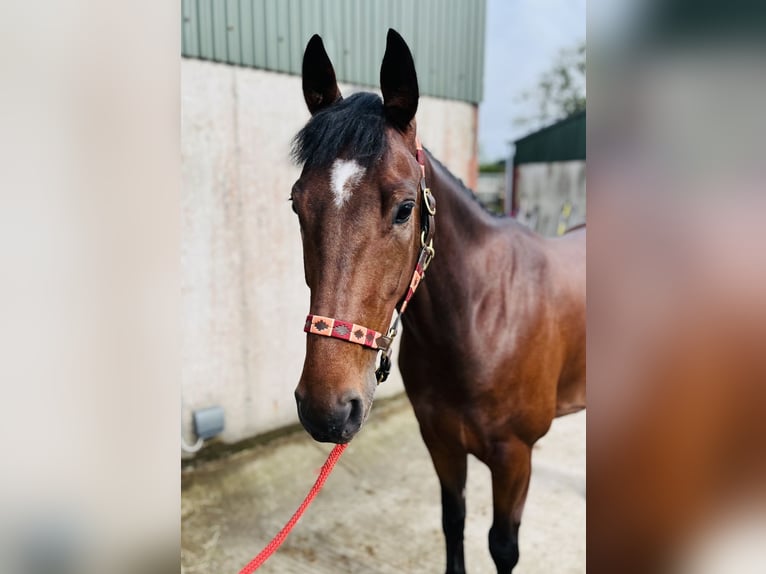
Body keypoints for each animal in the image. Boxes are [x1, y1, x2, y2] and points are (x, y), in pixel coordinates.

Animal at [290, 29, 586, 573]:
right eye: (297, 203)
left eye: (406, 208)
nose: (327, 410)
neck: (483, 318)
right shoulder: (441, 442)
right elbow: (453, 524)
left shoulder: (515, 458)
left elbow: (503, 547)